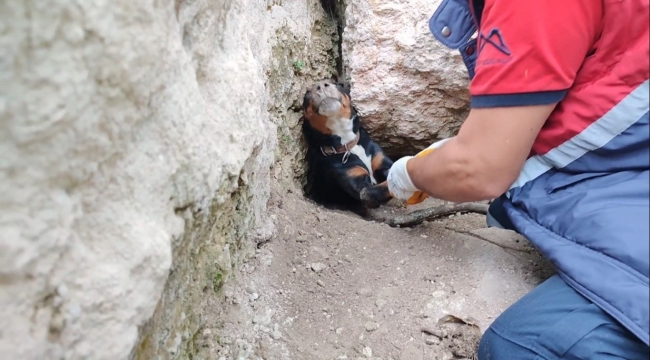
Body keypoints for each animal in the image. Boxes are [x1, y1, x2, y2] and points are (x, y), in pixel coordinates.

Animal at [300, 79, 394, 211]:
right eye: (307, 93)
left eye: (337, 84)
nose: (321, 85)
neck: (348, 144)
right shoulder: (353, 175)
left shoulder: (381, 161)